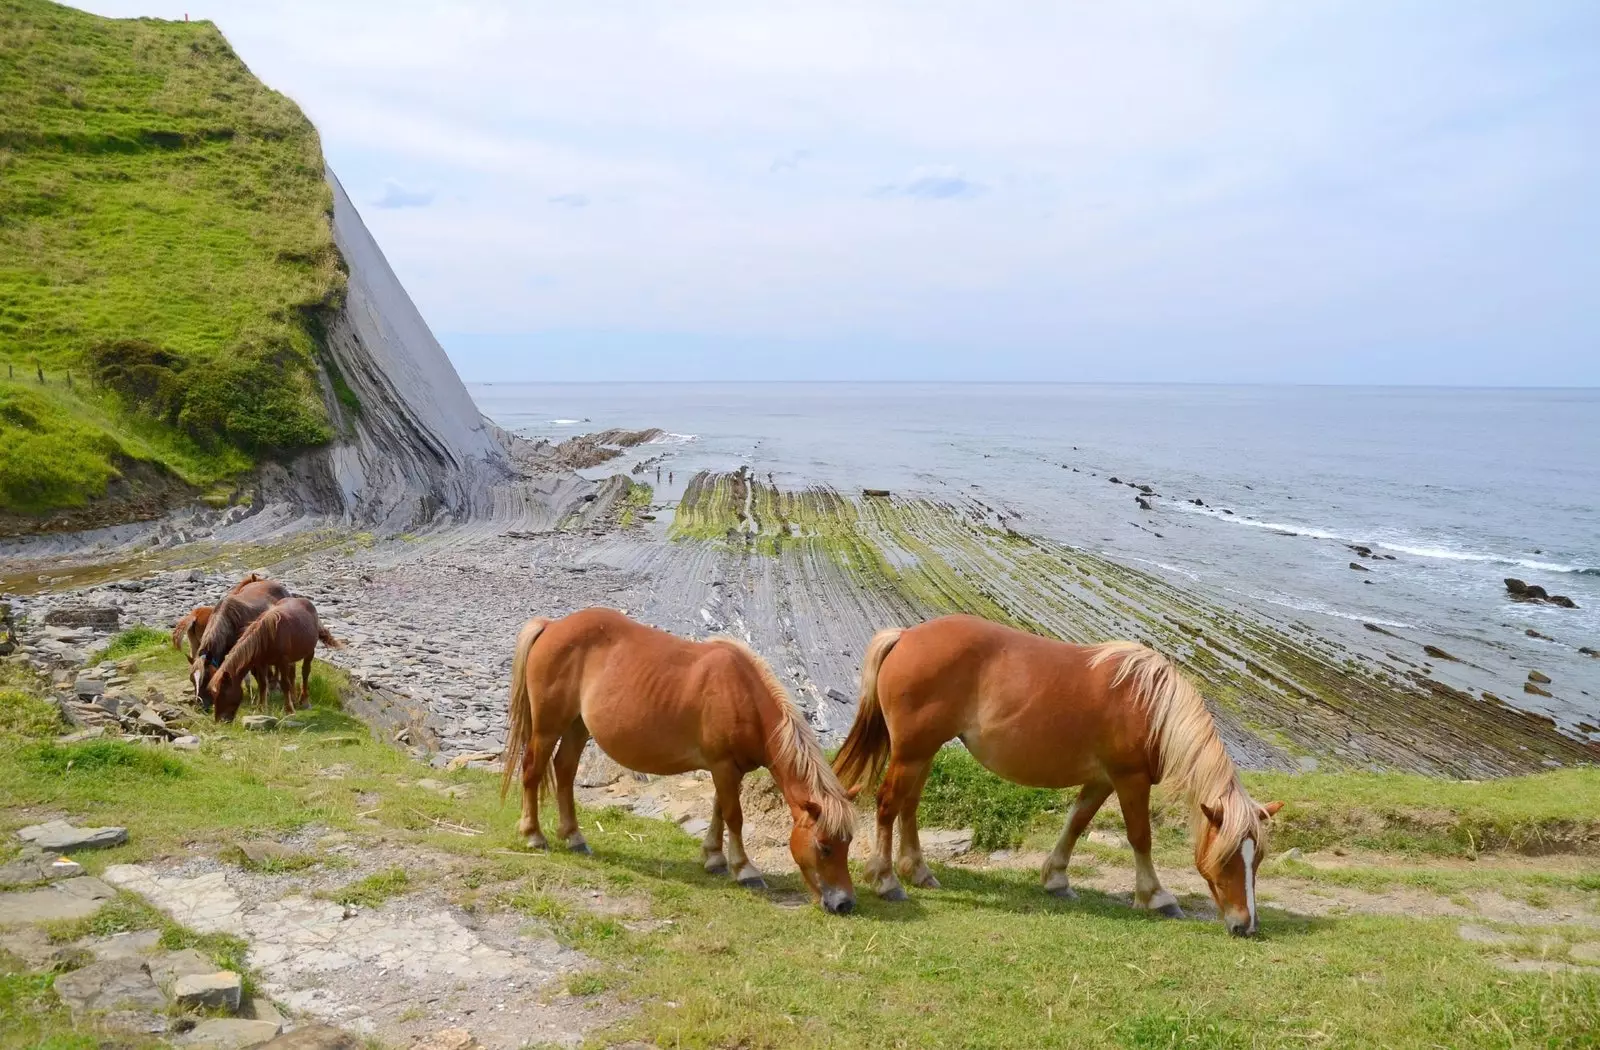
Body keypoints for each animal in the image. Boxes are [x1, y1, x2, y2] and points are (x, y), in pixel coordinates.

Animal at [206, 598, 344, 723]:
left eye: (223, 694)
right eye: (213, 695)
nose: (220, 720)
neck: (266, 637)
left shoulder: (282, 662)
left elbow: (284, 684)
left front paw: (289, 710)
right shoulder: (261, 663)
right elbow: (263, 684)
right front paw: (262, 708)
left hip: (309, 653)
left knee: (305, 673)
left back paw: (304, 701)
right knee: (293, 675)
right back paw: (294, 699)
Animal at [502, 611, 864, 915]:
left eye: (848, 844)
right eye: (824, 846)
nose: (844, 903)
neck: (743, 694)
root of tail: (552, 625)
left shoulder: (728, 769)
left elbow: (719, 810)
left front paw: (714, 858)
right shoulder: (723, 766)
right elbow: (734, 816)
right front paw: (744, 869)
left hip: (578, 726)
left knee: (565, 770)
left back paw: (574, 837)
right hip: (548, 727)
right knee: (533, 770)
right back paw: (533, 835)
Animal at [838, 611, 1286, 941]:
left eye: (1259, 858)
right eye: (1228, 858)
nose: (1246, 926)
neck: (1150, 705)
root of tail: (906, 636)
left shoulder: (1102, 780)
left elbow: (1076, 823)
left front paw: (1056, 879)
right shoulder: (1130, 778)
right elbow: (1140, 836)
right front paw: (1156, 896)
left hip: (923, 752)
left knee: (908, 806)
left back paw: (918, 871)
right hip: (913, 752)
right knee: (888, 805)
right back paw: (886, 880)